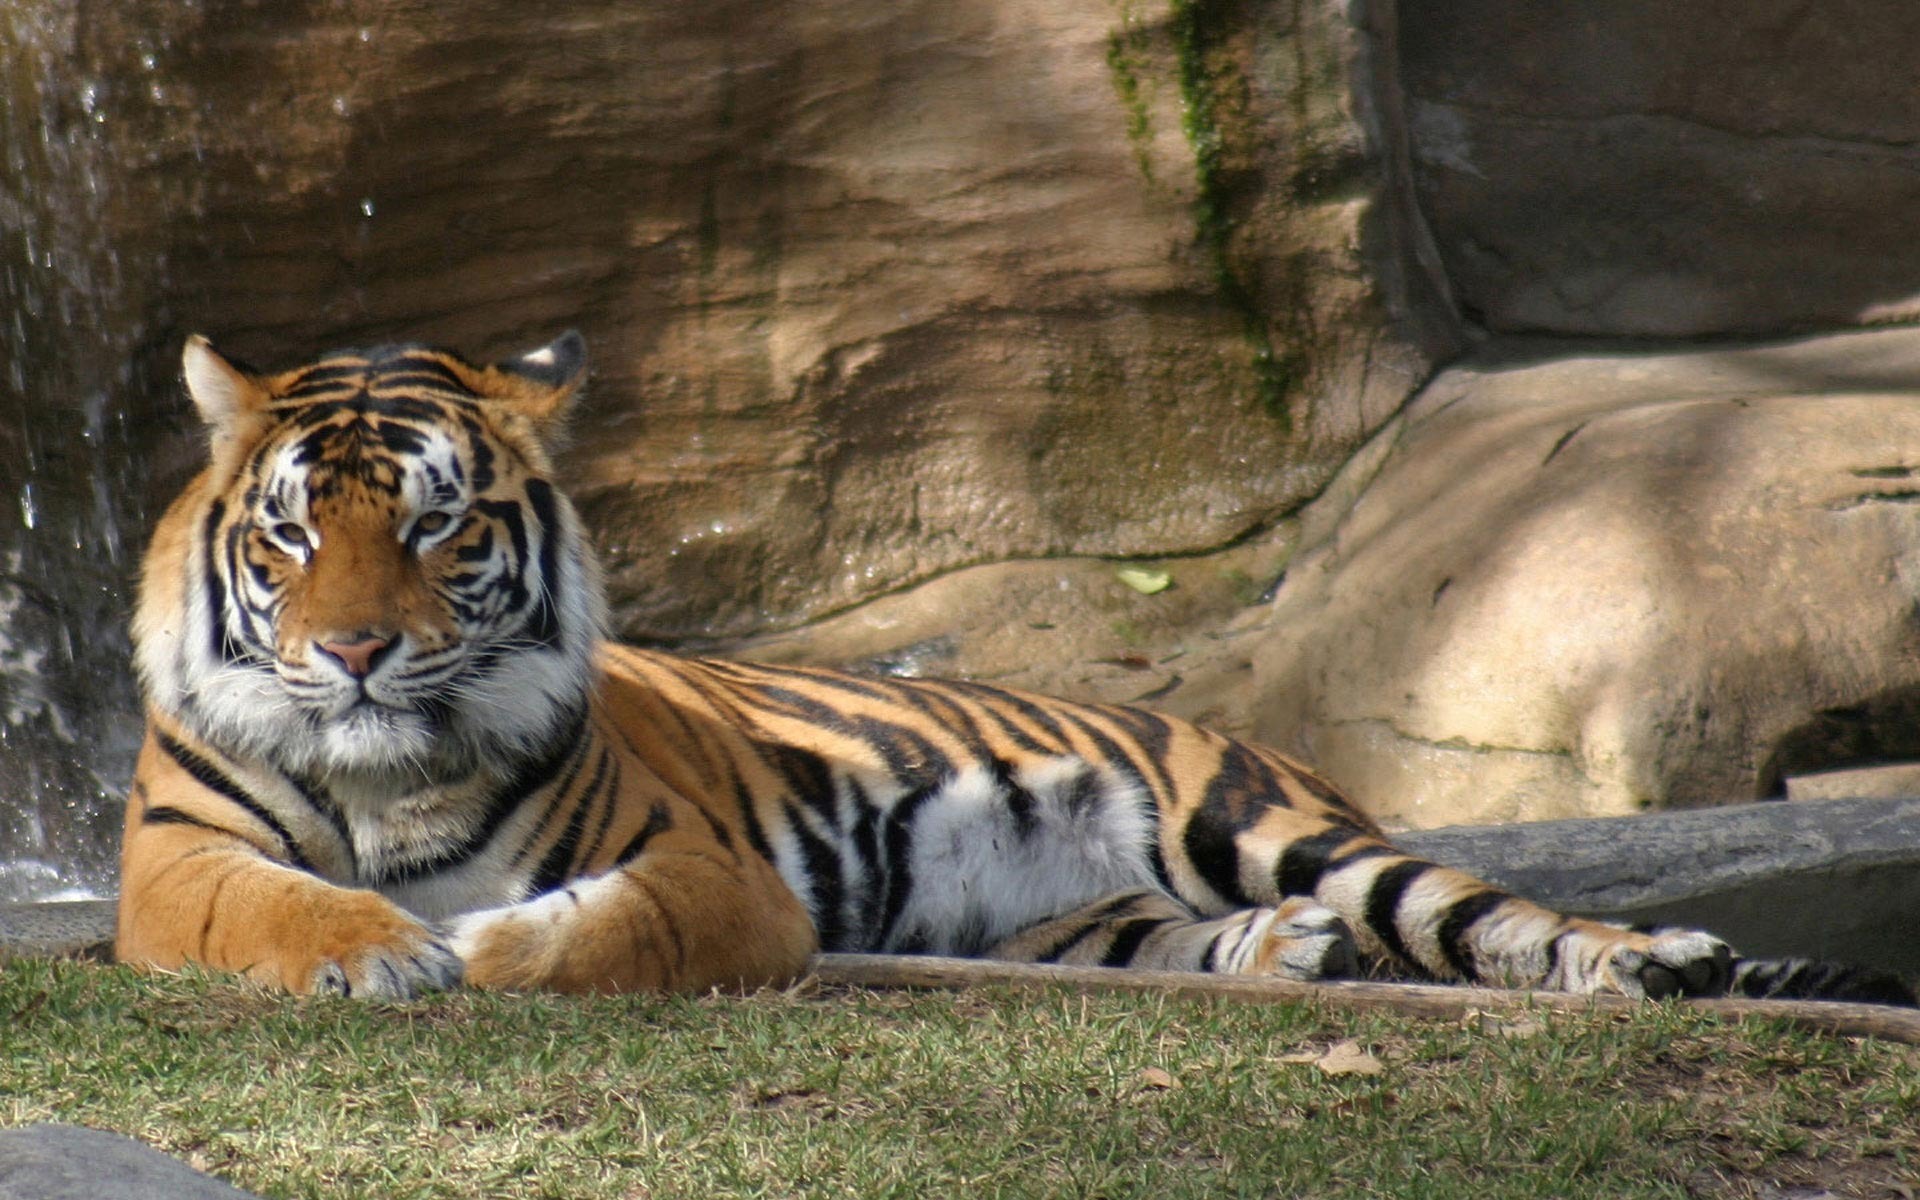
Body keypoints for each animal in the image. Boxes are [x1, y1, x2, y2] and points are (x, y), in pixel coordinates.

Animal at [116, 330, 1904, 998]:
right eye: (292, 536)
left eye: (435, 527)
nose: (354, 652)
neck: (389, 769)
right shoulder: (172, 864)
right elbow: (279, 907)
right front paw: (377, 951)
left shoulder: (697, 871)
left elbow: (580, 928)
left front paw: (470, 948)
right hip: (1084, 915)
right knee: (1217, 940)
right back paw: (1287, 957)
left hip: (1265, 820)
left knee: (1488, 914)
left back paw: (1651, 961)